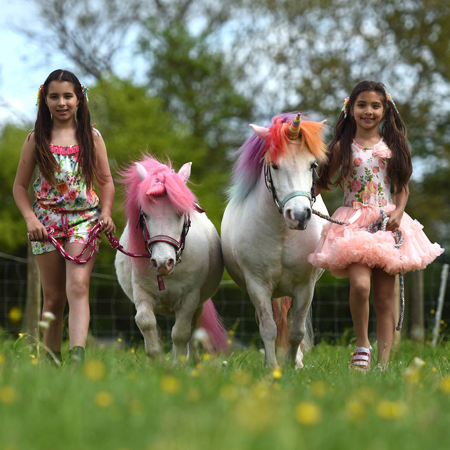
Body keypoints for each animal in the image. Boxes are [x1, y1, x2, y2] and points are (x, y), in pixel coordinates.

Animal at [114, 156, 227, 360]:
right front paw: (156, 360)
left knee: (195, 327)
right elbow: (146, 322)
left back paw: (194, 361)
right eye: (144, 214)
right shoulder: (141, 291)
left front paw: (180, 363)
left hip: (199, 303)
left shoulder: (190, 296)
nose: (162, 263)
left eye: (180, 213)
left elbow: (181, 332)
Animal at [223, 112, 328, 370]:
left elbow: (297, 330)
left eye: (313, 165)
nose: (299, 215)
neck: (282, 232)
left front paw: (293, 364)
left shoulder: (305, 286)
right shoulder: (257, 285)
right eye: (275, 165)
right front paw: (272, 367)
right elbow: (268, 329)